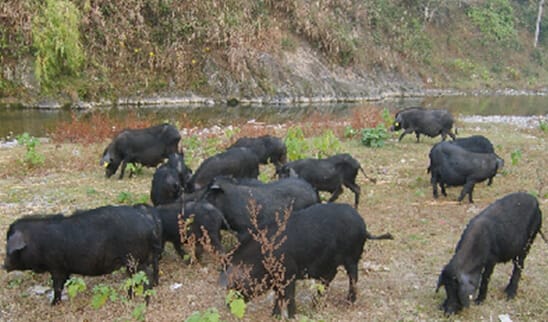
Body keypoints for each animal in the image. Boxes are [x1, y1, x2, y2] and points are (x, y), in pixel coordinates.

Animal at [3, 205, 163, 306]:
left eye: (10, 249)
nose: (3, 265)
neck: (37, 242)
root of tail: (148, 222)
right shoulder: (65, 269)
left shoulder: (57, 267)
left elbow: (57, 286)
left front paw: (53, 304)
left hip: (134, 260)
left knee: (145, 275)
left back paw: (136, 299)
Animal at [220, 204, 392, 316]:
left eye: (236, 284)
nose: (228, 305)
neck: (260, 258)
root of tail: (363, 226)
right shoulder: (279, 279)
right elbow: (278, 297)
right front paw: (274, 316)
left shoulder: (289, 273)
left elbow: (288, 297)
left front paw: (291, 317)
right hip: (329, 264)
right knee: (328, 279)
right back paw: (316, 305)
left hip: (352, 257)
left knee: (353, 277)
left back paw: (348, 302)